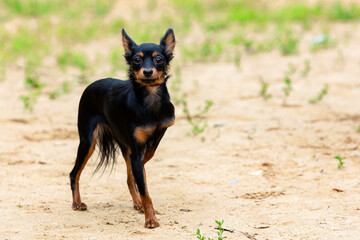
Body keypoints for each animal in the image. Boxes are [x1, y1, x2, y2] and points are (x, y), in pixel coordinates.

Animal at [69, 28, 176, 229]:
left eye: (159, 59)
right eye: (136, 60)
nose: (148, 72)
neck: (149, 98)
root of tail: (92, 84)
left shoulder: (154, 137)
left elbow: (141, 171)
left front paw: (146, 208)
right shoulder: (135, 147)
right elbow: (144, 188)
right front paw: (150, 220)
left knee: (129, 177)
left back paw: (136, 202)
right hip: (88, 141)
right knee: (74, 173)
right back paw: (77, 203)